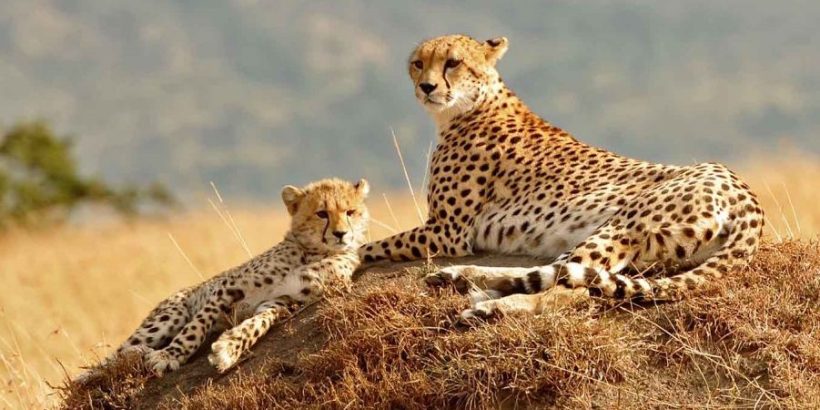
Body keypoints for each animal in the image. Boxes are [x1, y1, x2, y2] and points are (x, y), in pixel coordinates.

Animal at [80, 177, 368, 378]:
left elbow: (256, 325)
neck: (313, 253)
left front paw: (229, 348)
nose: (341, 234)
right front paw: (171, 355)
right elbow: (195, 327)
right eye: (322, 213)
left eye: (350, 212)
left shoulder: (281, 302)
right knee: (109, 358)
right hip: (169, 316)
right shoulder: (228, 287)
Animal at [362, 34, 764, 320]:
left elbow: (369, 245)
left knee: (568, 287)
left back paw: (488, 302)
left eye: (453, 63)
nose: (426, 87)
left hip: (622, 225)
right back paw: (465, 281)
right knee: (558, 272)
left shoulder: (446, 231)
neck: (472, 105)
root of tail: (744, 190)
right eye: (418, 63)